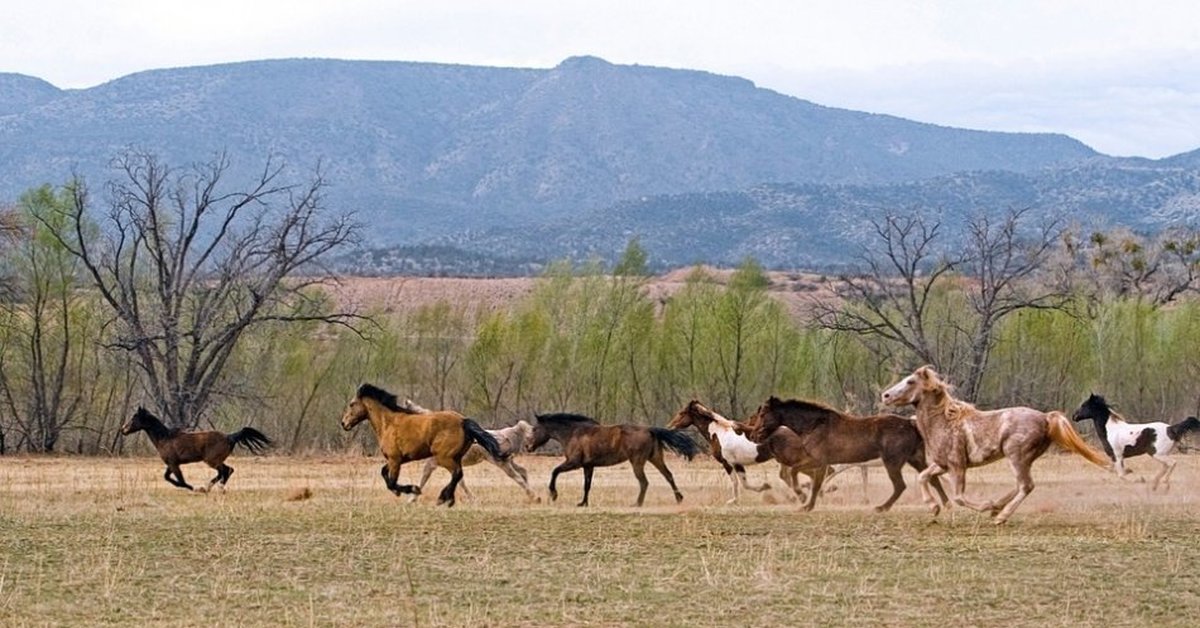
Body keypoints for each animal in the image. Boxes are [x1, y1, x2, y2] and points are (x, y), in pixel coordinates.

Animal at [120, 405, 272, 494]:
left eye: (134, 418)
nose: (123, 430)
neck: (165, 438)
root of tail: (230, 437)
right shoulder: (171, 464)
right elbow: (167, 478)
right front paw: (194, 487)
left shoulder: (174, 464)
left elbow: (180, 481)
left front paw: (193, 488)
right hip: (215, 460)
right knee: (226, 471)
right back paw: (210, 487)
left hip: (211, 460)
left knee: (226, 470)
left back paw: (214, 488)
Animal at [338, 384, 506, 506]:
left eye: (352, 404)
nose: (344, 423)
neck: (388, 423)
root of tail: (463, 421)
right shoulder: (398, 459)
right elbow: (384, 473)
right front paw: (402, 492)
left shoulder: (395, 459)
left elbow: (391, 482)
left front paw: (412, 489)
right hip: (455, 457)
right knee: (458, 475)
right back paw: (448, 498)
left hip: (444, 457)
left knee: (457, 474)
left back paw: (443, 498)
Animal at [739, 401, 945, 513]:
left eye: (762, 414)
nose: (753, 435)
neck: (813, 425)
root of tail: (912, 423)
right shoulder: (818, 462)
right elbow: (809, 480)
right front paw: (806, 502)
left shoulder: (818, 461)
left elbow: (804, 478)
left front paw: (803, 500)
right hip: (916, 459)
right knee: (932, 479)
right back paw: (944, 504)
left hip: (893, 463)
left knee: (900, 485)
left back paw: (882, 507)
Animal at [878, 365, 1108, 523]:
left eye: (910, 382)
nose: (885, 395)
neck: (944, 421)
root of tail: (1045, 417)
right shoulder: (941, 465)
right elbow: (923, 477)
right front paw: (933, 507)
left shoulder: (957, 465)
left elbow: (958, 497)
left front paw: (985, 506)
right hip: (1024, 459)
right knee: (1020, 485)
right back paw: (998, 508)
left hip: (1016, 456)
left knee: (1026, 485)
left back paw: (1000, 516)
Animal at [1070, 393, 1200, 492]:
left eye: (1084, 405)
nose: (1074, 416)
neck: (1111, 430)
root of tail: (1170, 428)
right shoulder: (1117, 458)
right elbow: (1117, 471)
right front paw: (1132, 474)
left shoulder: (1117, 456)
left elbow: (1121, 475)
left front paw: (1138, 480)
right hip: (1161, 454)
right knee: (1166, 466)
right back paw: (1154, 485)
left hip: (1157, 453)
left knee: (1172, 463)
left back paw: (1164, 484)